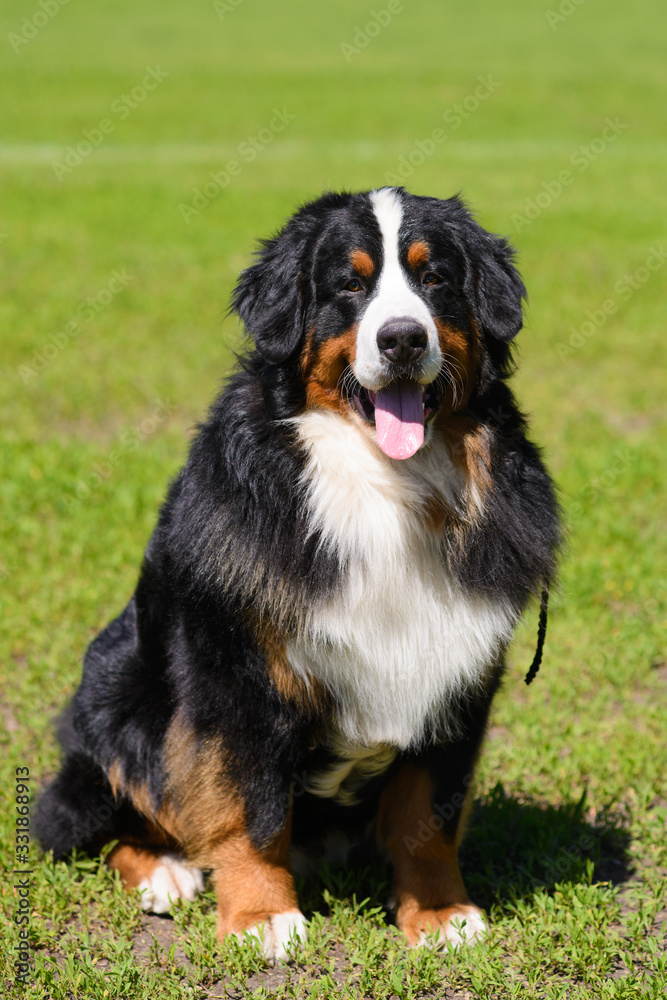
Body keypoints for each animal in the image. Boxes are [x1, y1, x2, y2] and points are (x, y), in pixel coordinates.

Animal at [35, 186, 560, 960]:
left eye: (434, 279)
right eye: (349, 285)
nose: (402, 339)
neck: (382, 487)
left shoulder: (456, 673)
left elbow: (426, 815)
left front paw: (438, 913)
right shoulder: (238, 677)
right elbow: (250, 806)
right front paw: (260, 916)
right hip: (117, 689)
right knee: (101, 813)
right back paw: (163, 872)